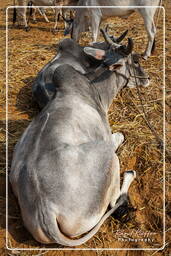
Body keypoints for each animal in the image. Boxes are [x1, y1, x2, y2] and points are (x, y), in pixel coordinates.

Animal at [10, 30, 150, 246]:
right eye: (135, 60)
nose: (147, 78)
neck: (96, 89)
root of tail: (46, 210)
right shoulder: (108, 137)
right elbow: (120, 135)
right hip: (108, 157)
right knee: (116, 200)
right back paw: (129, 175)